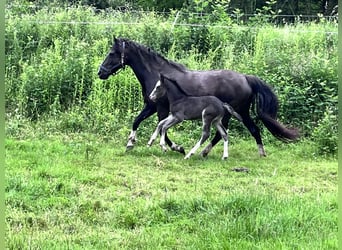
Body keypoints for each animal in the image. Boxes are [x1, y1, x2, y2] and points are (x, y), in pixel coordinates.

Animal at [97, 37, 298, 156]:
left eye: (112, 53)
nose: (101, 72)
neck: (156, 74)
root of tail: (246, 78)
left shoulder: (160, 107)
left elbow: (161, 127)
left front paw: (175, 147)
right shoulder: (151, 105)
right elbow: (138, 121)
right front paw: (131, 143)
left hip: (236, 112)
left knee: (244, 130)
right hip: (230, 114)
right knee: (225, 133)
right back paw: (206, 152)